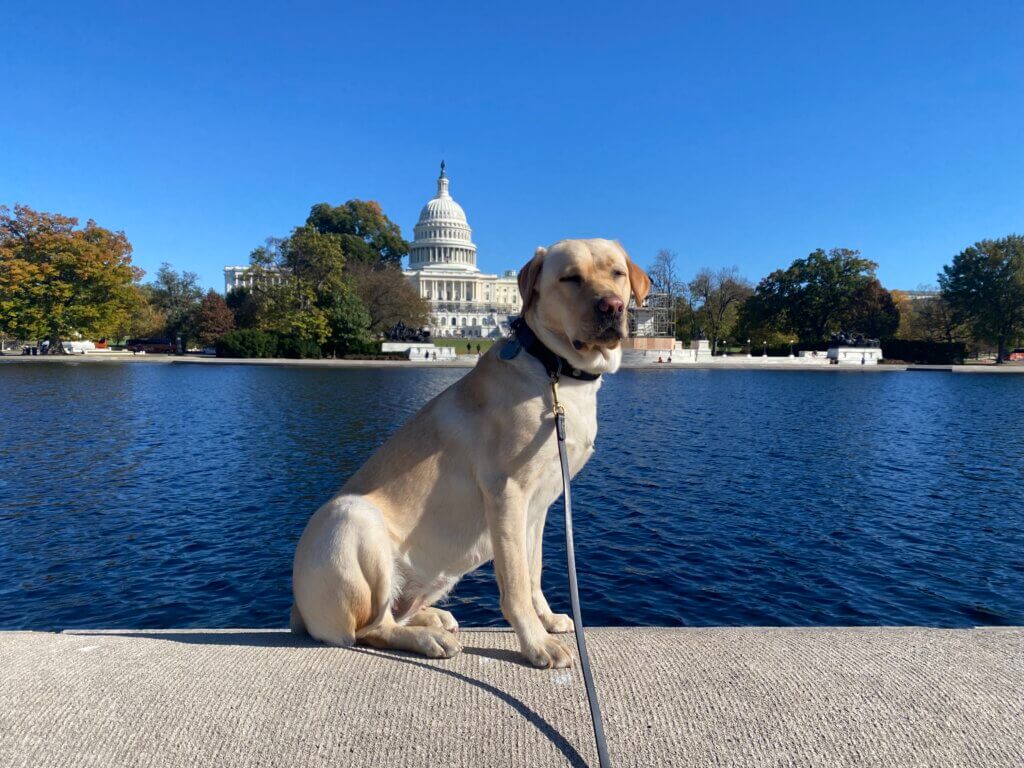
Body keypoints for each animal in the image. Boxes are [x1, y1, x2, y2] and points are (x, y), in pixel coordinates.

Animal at [292, 239, 651, 667]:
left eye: (617, 273)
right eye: (570, 278)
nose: (612, 306)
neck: (555, 370)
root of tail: (298, 610)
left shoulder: (540, 506)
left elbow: (533, 571)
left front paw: (547, 620)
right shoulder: (506, 494)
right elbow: (515, 583)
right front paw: (536, 643)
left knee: (394, 614)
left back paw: (434, 619)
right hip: (349, 517)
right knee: (371, 628)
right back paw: (429, 639)